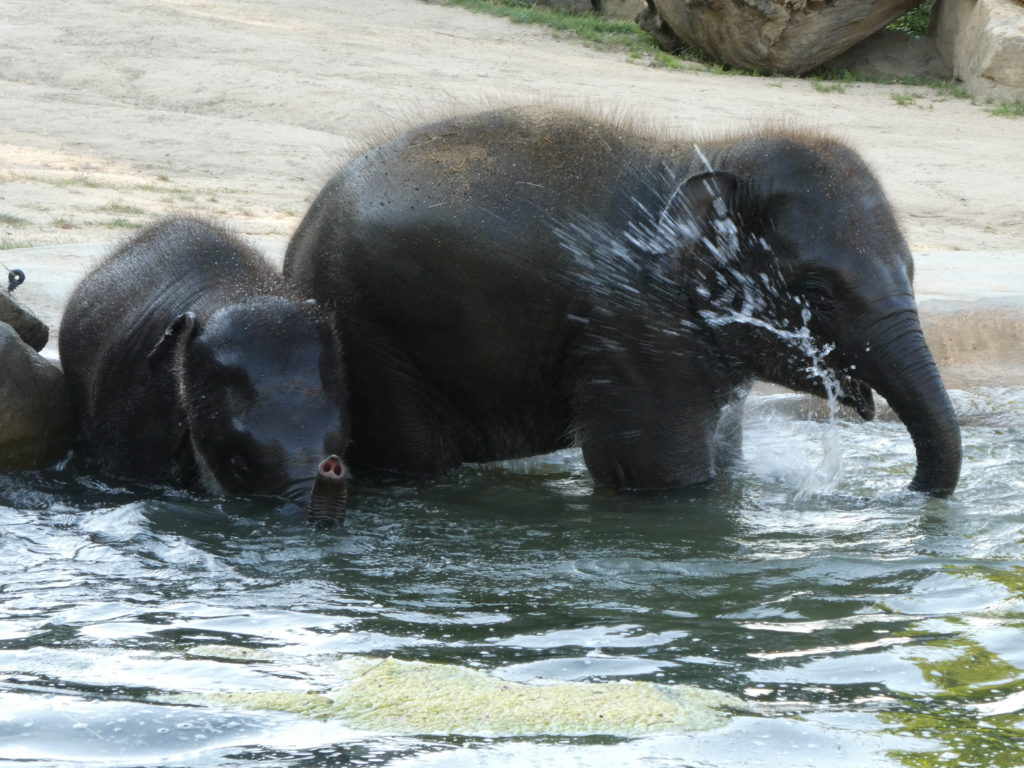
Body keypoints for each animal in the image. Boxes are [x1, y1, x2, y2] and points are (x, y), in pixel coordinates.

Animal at [284, 107, 962, 499]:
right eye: (817, 291)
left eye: (912, 271)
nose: (909, 491)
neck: (709, 153)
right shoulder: (633, 326)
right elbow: (656, 473)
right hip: (372, 341)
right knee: (414, 458)